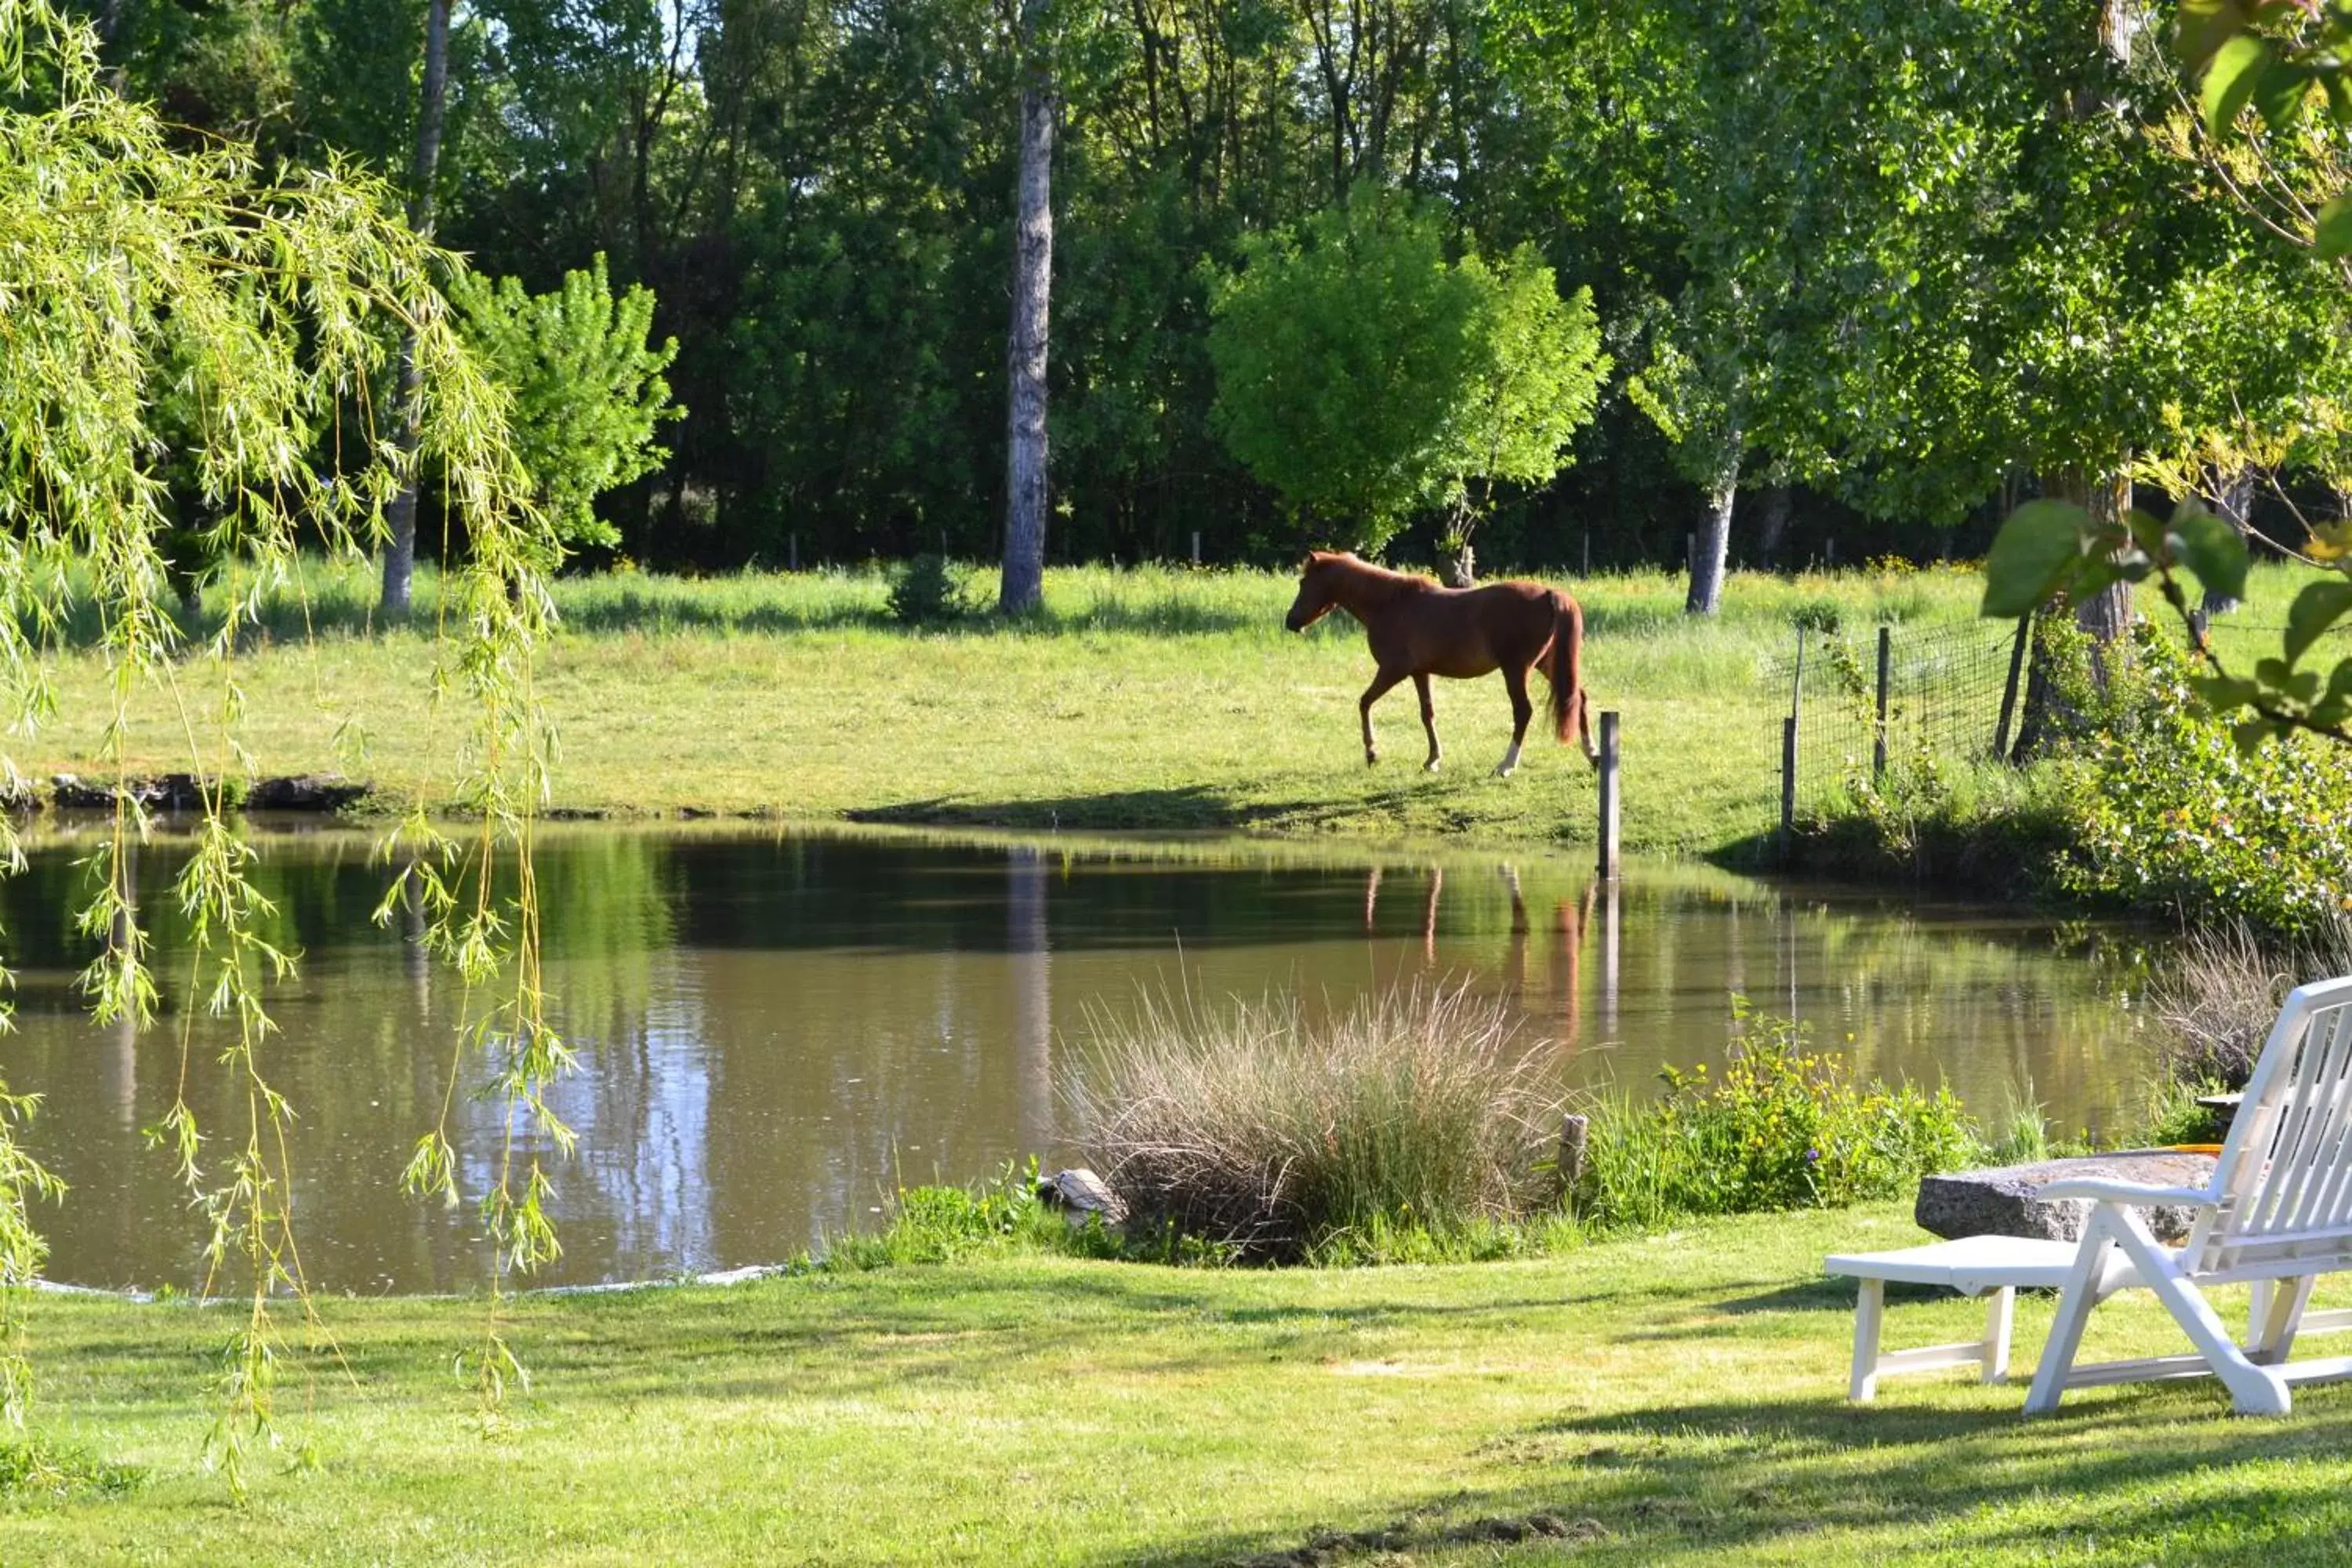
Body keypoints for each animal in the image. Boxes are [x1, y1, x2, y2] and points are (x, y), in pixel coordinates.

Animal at [1289, 552, 1599, 780]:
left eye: (1303, 584)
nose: (1290, 621)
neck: (1391, 603)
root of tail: (1549, 594)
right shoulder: (1420, 673)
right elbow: (1427, 714)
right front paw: (1432, 760)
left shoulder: (1393, 670)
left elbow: (1365, 702)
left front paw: (1372, 753)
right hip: (1546, 665)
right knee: (1578, 698)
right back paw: (1594, 755)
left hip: (1516, 669)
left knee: (1523, 712)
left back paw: (1506, 765)